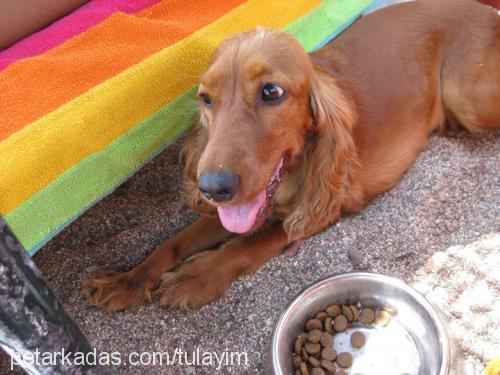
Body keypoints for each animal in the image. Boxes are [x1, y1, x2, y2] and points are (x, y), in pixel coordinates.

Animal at [84, 0, 500, 312]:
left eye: (271, 92)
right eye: (206, 98)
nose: (212, 187)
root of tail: (485, 11)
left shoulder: (324, 205)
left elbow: (250, 243)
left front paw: (197, 276)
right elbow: (175, 240)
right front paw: (128, 279)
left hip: (467, 97)